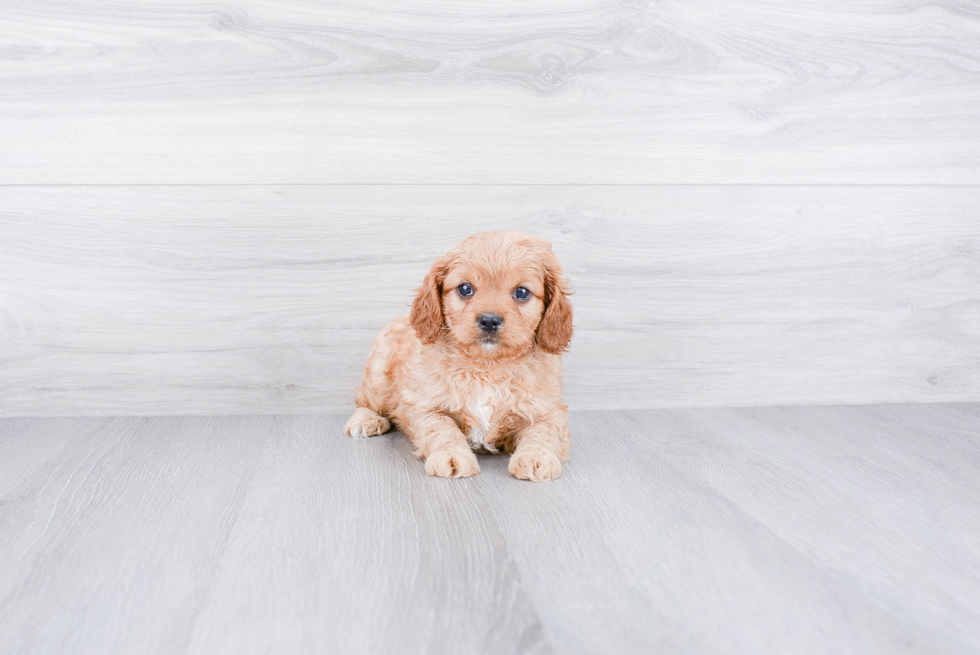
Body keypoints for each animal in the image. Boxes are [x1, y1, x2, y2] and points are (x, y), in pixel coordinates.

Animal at [344, 231, 576, 482]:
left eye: (522, 292)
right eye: (465, 289)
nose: (489, 320)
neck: (488, 365)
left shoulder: (548, 409)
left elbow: (543, 432)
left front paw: (536, 458)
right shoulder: (427, 406)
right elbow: (442, 429)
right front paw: (451, 457)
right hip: (378, 374)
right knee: (364, 400)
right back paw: (366, 420)